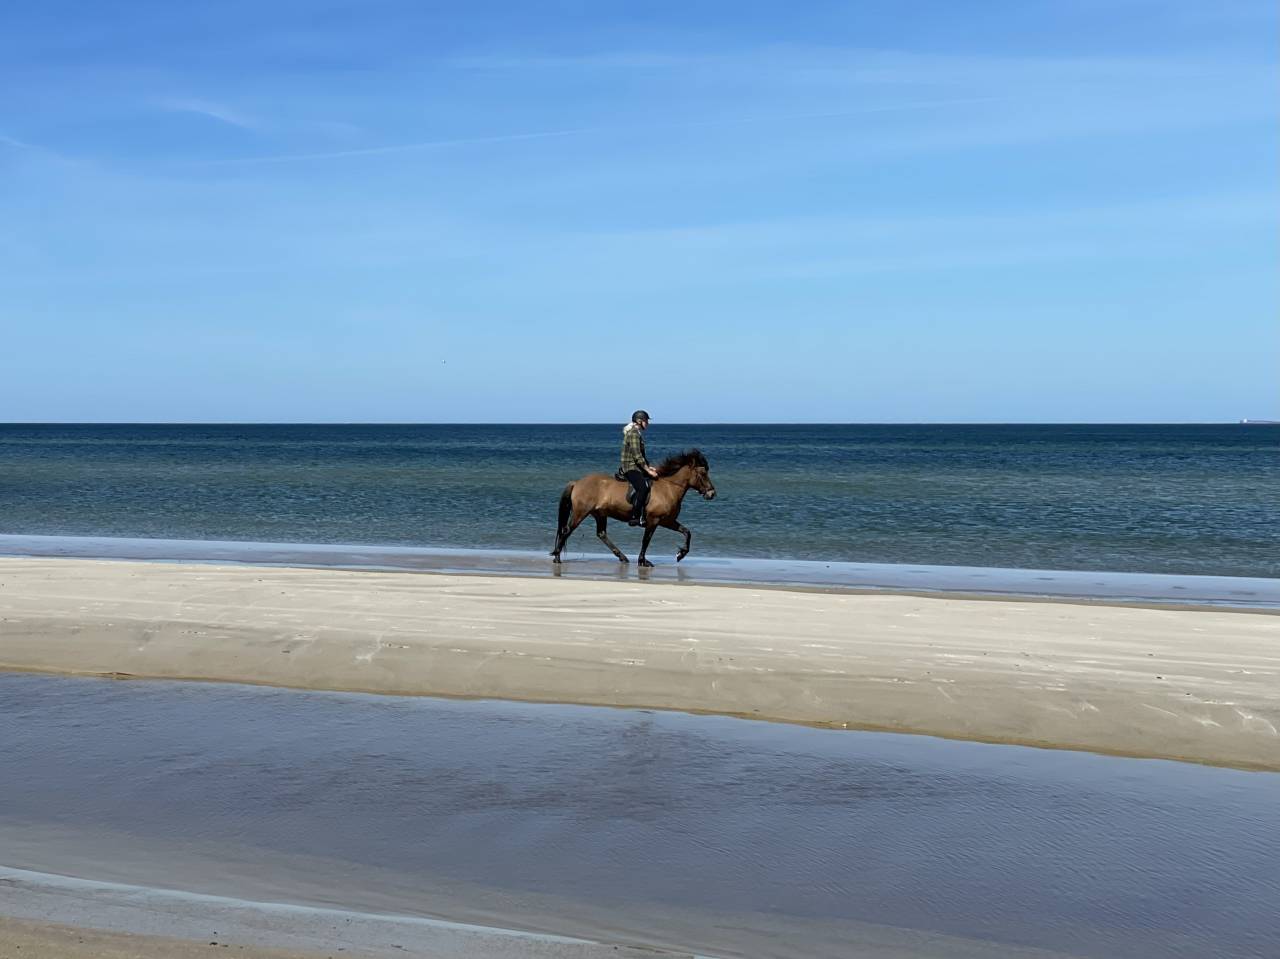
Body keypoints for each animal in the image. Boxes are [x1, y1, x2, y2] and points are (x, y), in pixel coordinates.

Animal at [551, 450, 717, 567]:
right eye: (703, 473)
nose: (712, 493)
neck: (668, 488)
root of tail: (577, 482)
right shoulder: (653, 520)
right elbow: (646, 540)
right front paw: (643, 561)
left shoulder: (667, 521)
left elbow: (687, 532)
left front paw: (681, 554)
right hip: (581, 513)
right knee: (566, 531)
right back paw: (557, 557)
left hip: (600, 513)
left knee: (601, 533)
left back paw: (623, 557)